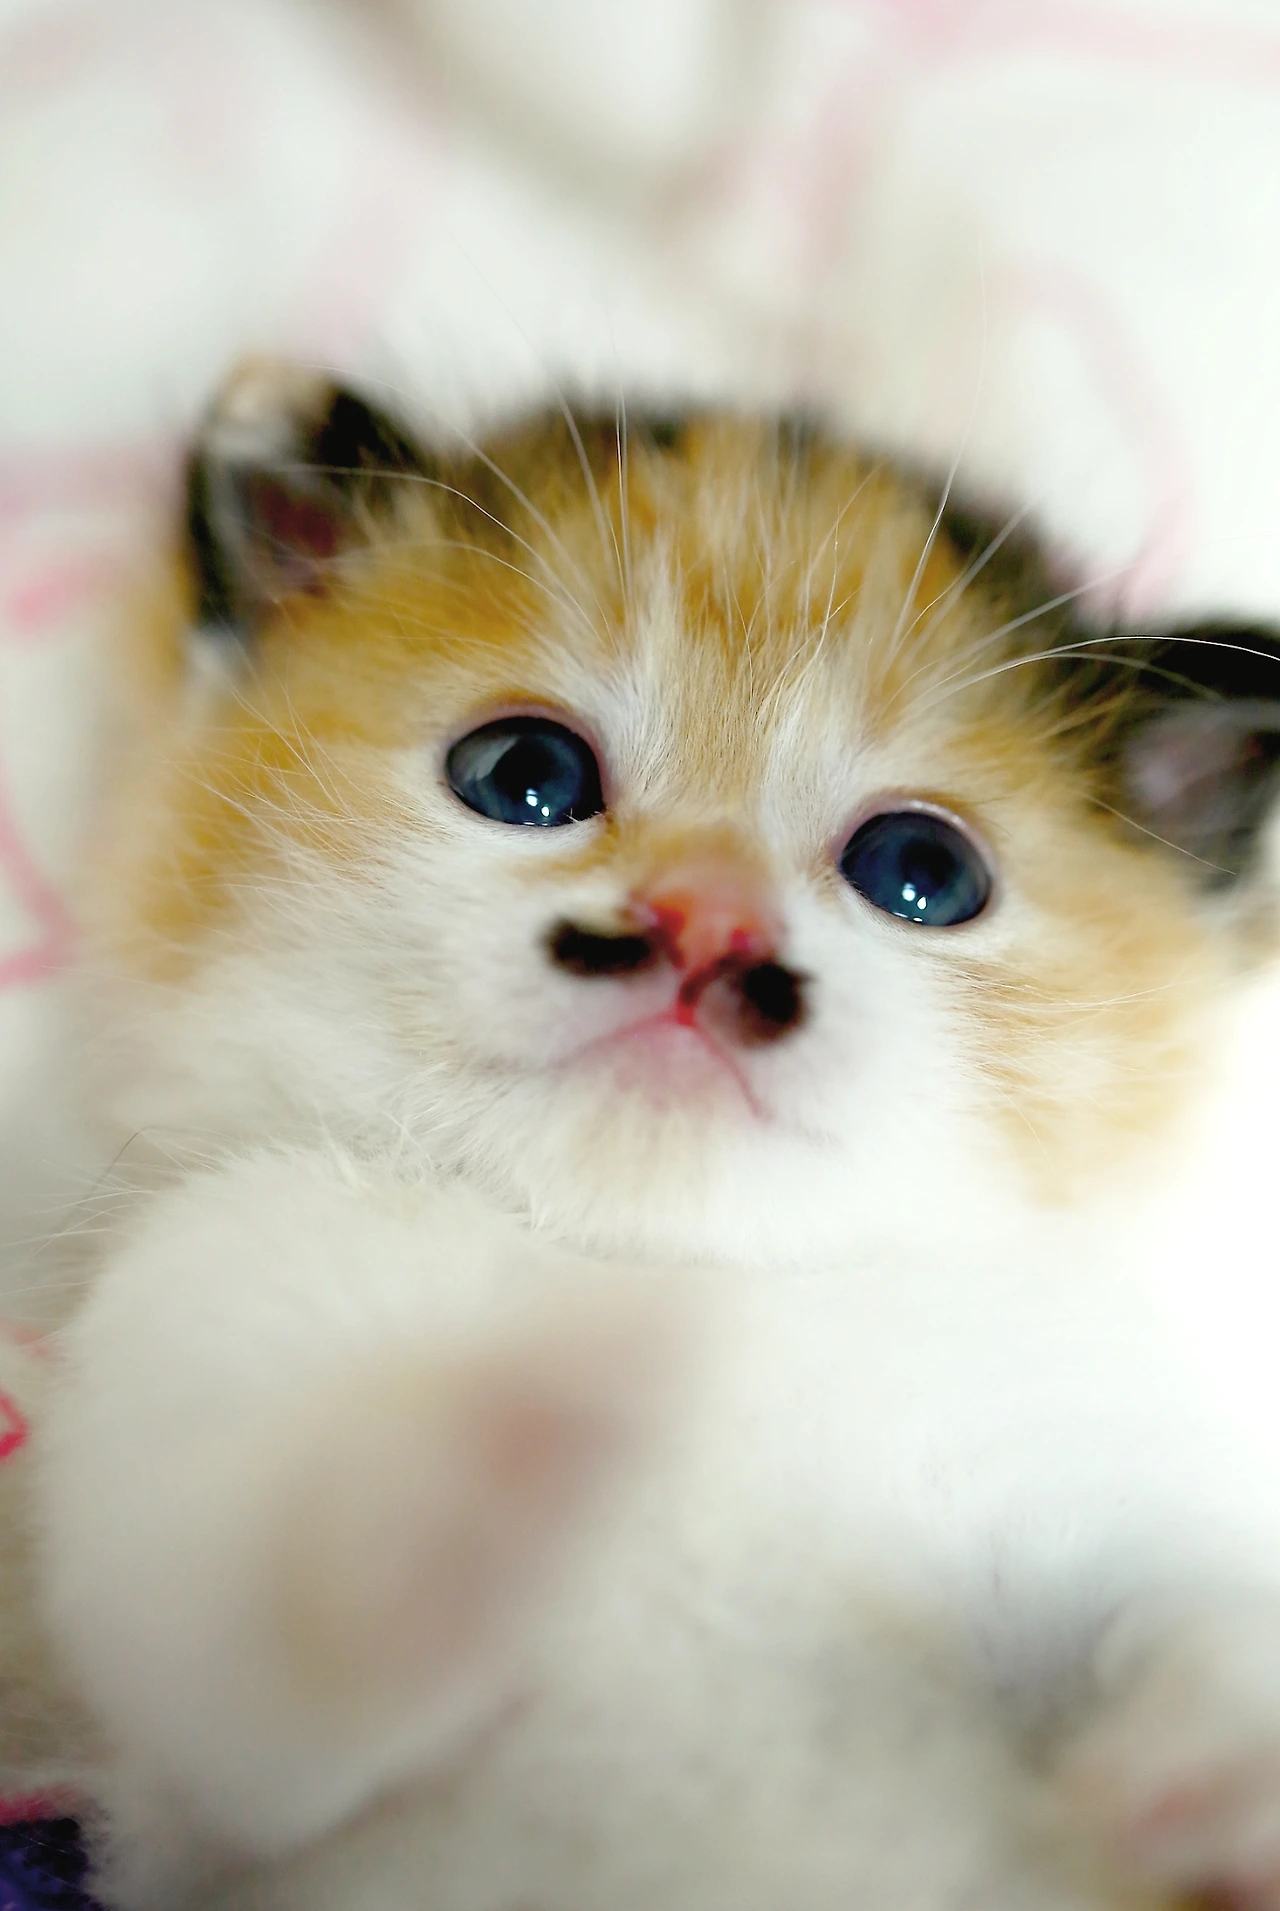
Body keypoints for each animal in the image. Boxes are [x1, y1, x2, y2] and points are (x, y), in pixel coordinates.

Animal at [30, 356, 1280, 1909]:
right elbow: (255, 1642)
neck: (670, 1254)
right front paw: (512, 1444)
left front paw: (1216, 1766)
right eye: (522, 774)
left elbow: (1206, 1614)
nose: (707, 920)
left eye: (919, 871)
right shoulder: (203, 1346)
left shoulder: (1096, 1448)